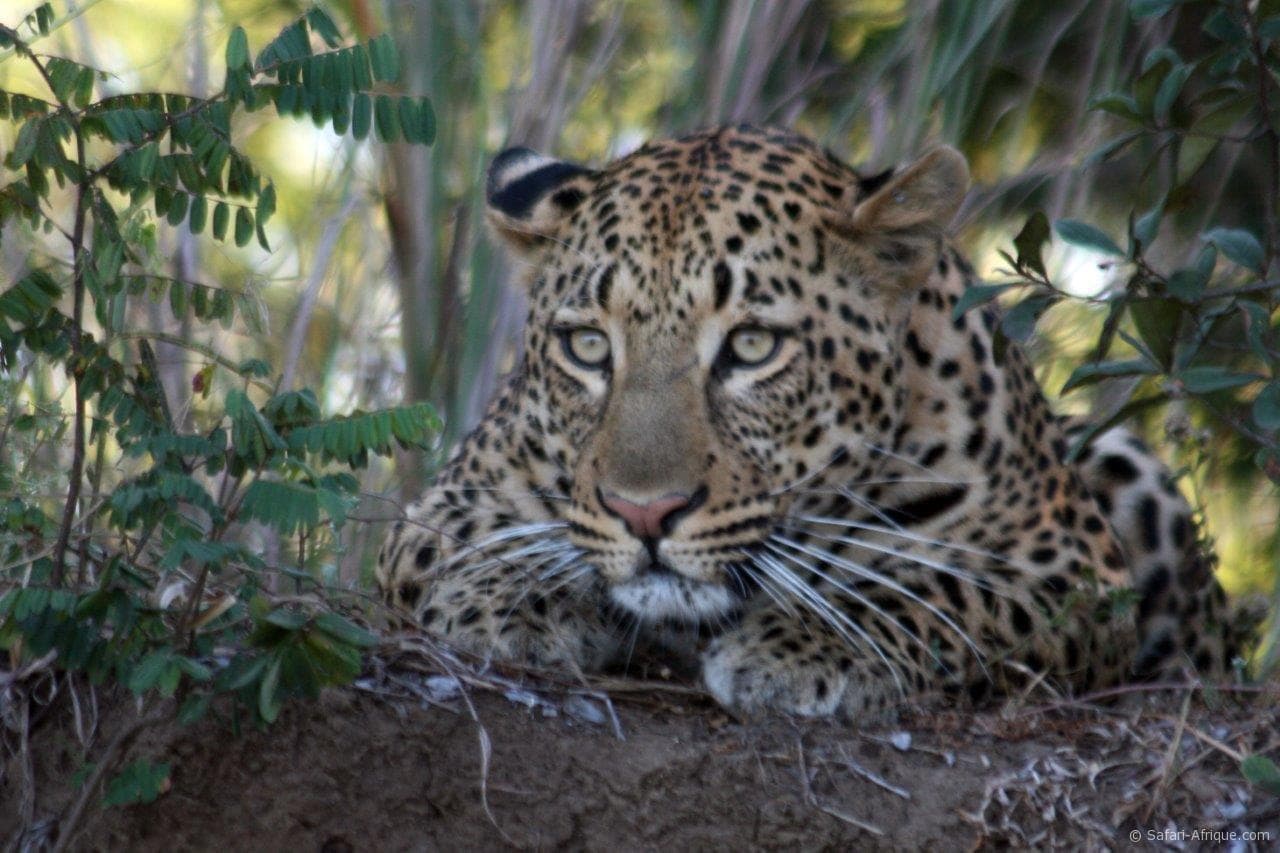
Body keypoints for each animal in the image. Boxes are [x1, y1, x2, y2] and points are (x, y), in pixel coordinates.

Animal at [377, 125, 1239, 720]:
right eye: (588, 345)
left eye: (754, 345)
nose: (645, 514)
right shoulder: (450, 497)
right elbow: (465, 543)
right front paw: (508, 600)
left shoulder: (1066, 566)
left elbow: (933, 587)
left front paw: (802, 648)